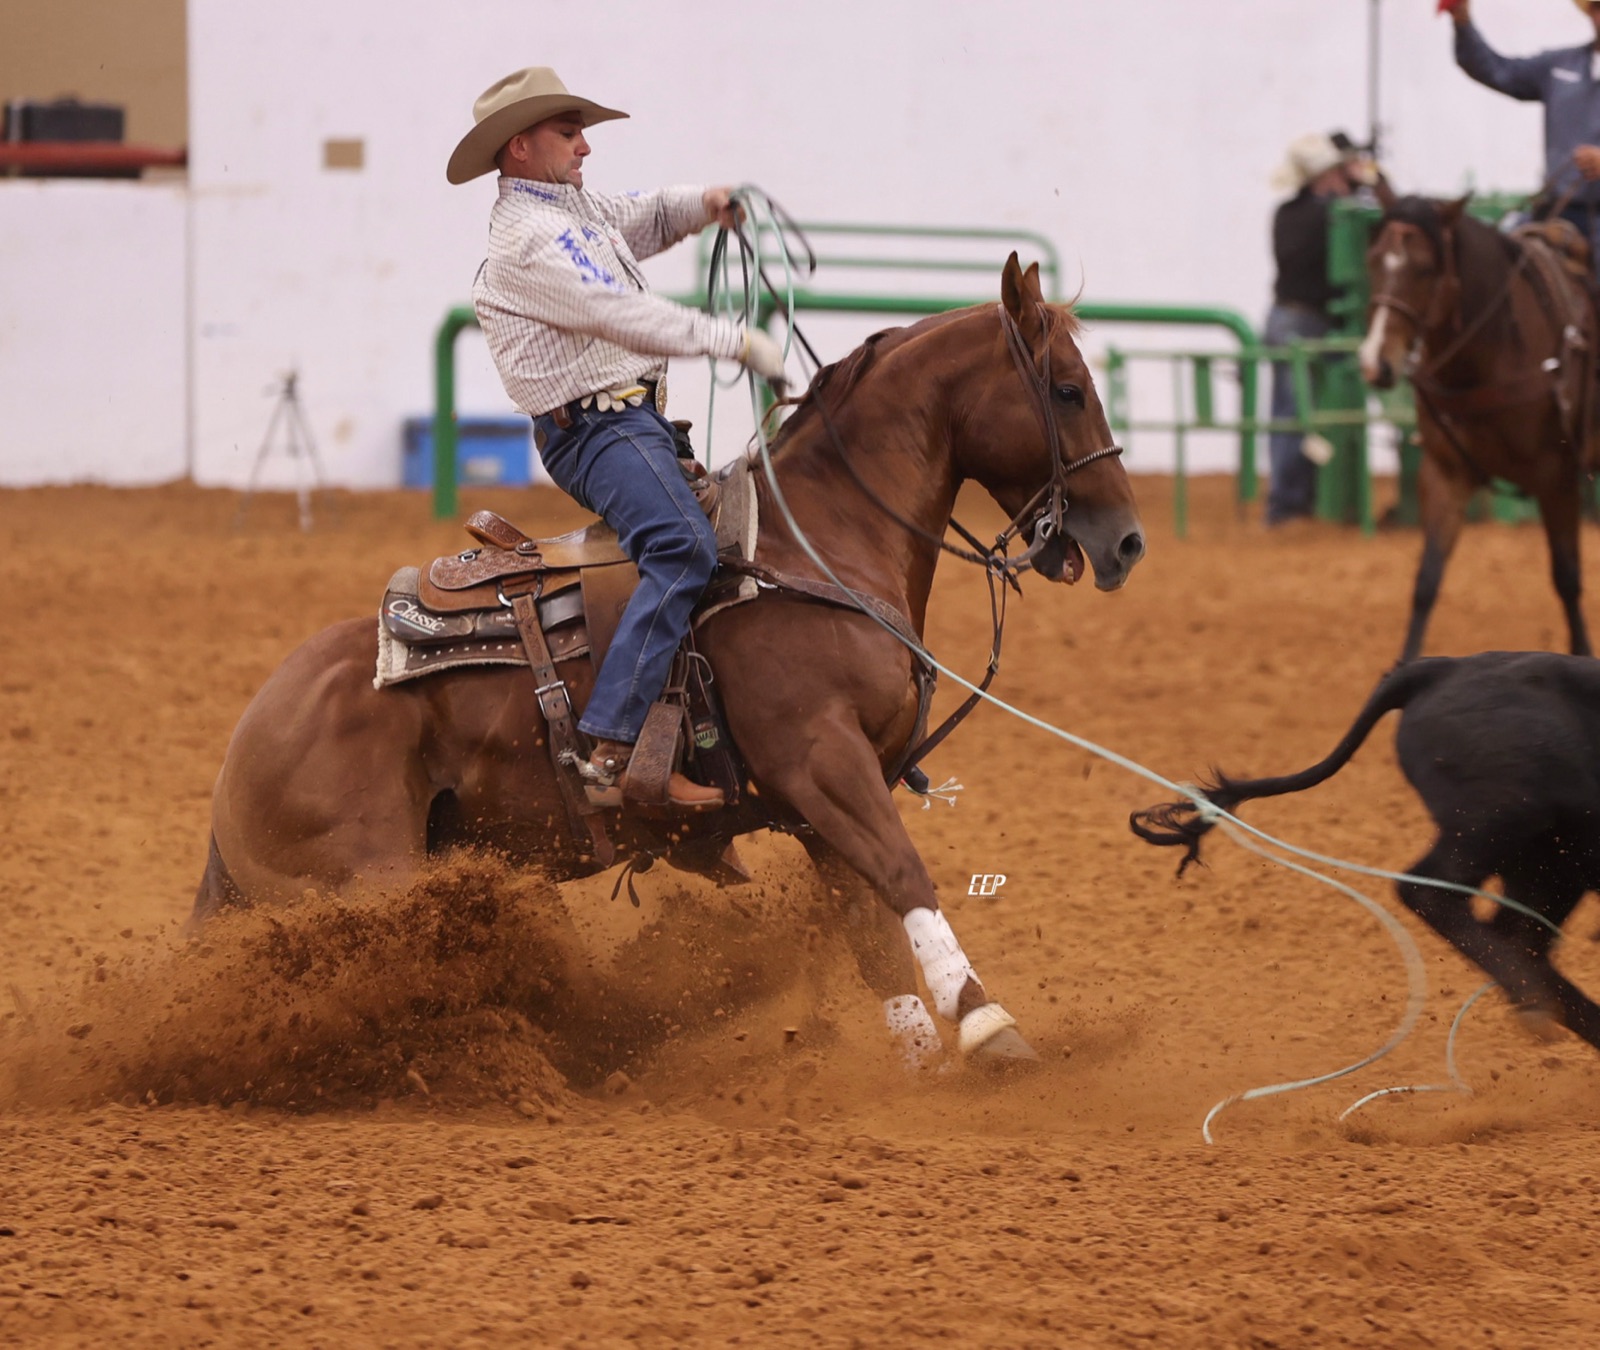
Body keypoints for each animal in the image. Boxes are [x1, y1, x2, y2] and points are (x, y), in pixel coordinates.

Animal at [191, 254, 1147, 1069]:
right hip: (372, 882)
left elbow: (870, 934)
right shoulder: (821, 763)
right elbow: (906, 875)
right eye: (1068, 390)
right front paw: (991, 1029)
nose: (1127, 542)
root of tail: (248, 737)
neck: (813, 548)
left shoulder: (821, 808)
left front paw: (923, 1069)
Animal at [1357, 194, 1597, 662]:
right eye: (1374, 259)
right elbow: (1426, 581)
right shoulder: (1446, 472)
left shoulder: (1557, 477)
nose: (1376, 362)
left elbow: (1567, 578)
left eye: (1425, 267)